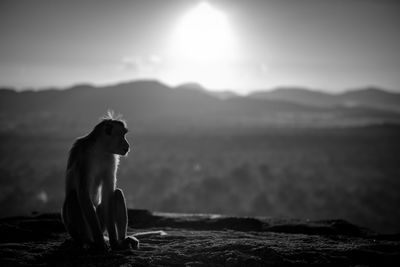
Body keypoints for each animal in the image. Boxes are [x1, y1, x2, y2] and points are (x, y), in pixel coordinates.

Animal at [61, 112, 139, 252]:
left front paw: (114, 242)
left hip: (102, 222)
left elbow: (108, 193)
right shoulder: (84, 157)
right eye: (122, 135)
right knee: (73, 197)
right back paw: (87, 242)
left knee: (117, 194)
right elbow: (83, 194)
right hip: (74, 228)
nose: (128, 146)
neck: (101, 149)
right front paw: (101, 243)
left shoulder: (111, 158)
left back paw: (123, 240)